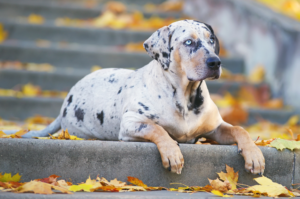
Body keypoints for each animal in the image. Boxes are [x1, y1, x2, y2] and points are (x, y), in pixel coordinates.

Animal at [7, 20, 264, 175]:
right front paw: (172, 153)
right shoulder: (131, 124)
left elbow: (240, 129)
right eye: (189, 42)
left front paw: (254, 155)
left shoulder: (215, 128)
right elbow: (157, 129)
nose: (215, 62)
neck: (185, 97)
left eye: (211, 40)